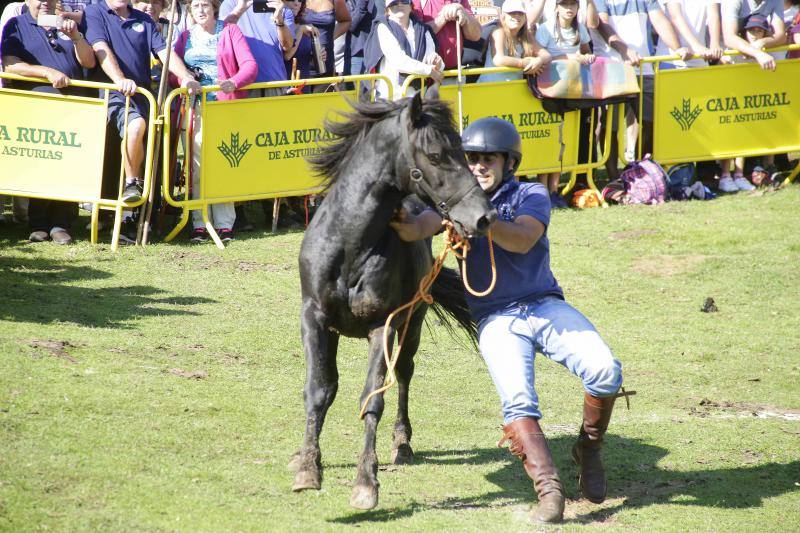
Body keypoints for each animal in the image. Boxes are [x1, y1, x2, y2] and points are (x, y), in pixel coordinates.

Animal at [290, 89, 496, 510]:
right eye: (436, 154)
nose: (483, 217)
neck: (350, 245)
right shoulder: (314, 319)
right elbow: (318, 390)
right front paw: (307, 467)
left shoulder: (381, 328)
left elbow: (372, 399)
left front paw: (366, 483)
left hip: (412, 324)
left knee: (403, 374)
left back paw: (402, 444)